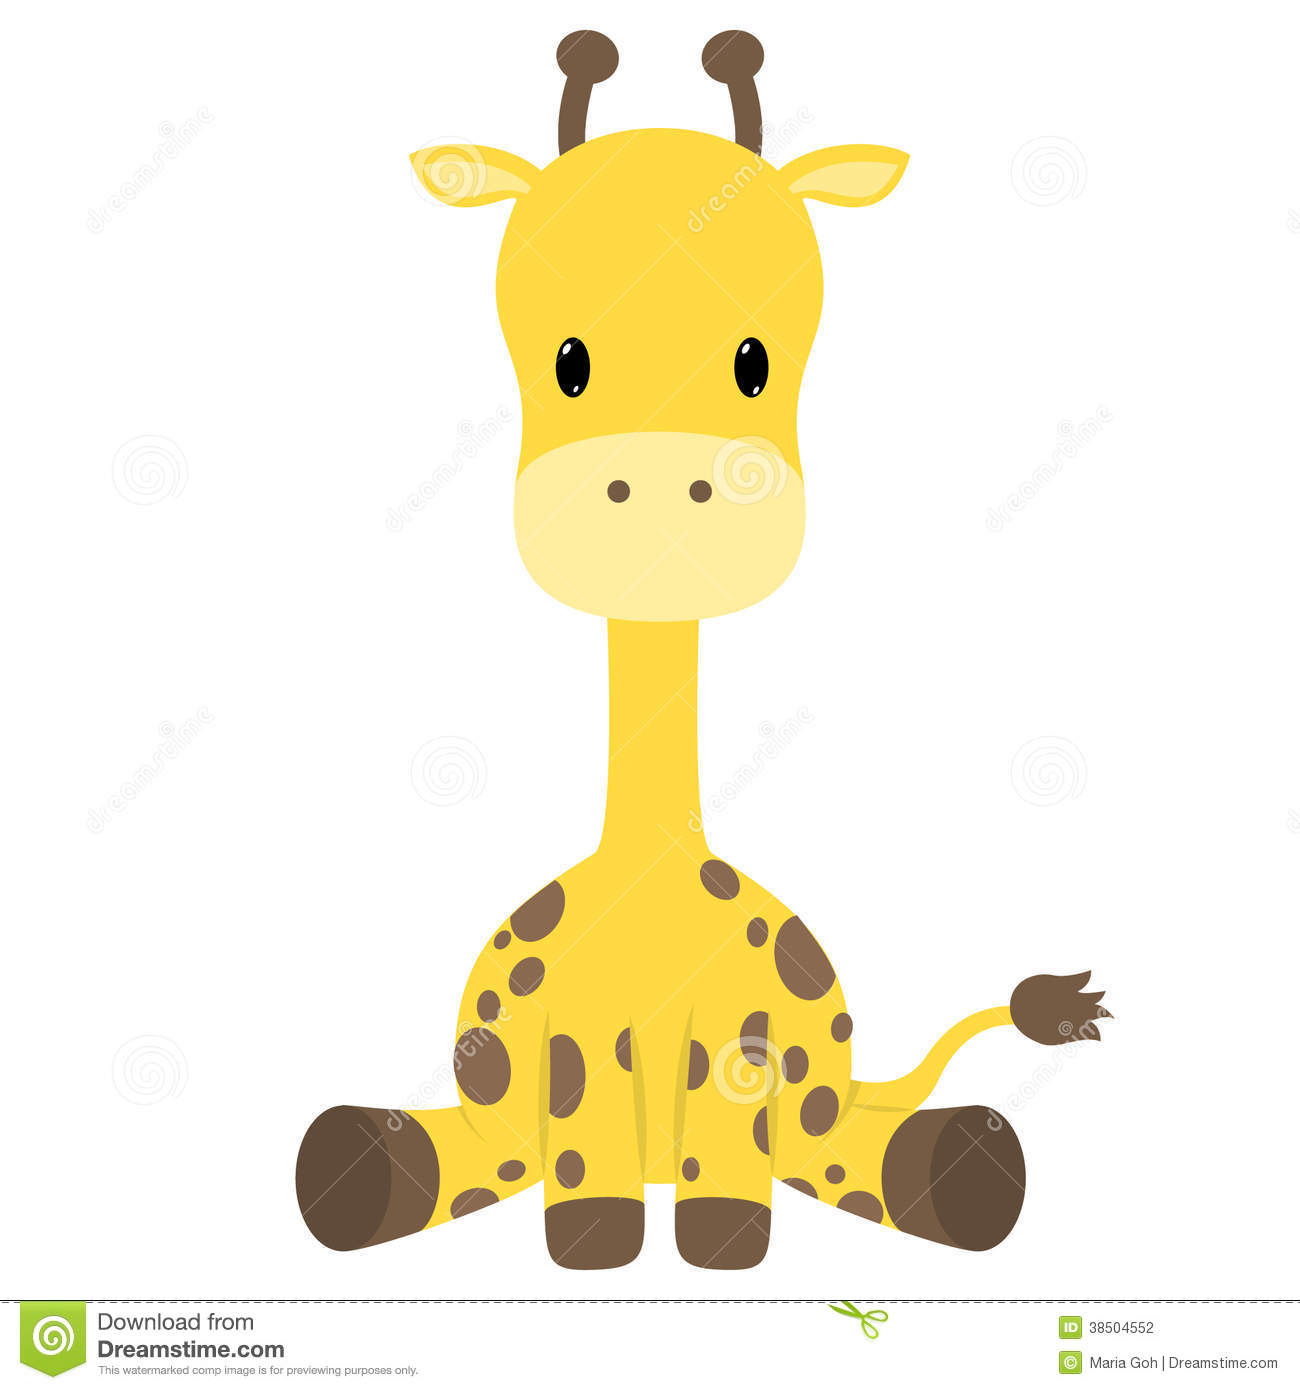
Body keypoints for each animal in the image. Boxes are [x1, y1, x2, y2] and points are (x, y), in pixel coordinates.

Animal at [295, 30, 1112, 1270]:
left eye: (754, 359)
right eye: (566, 360)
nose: (662, 490)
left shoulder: (741, 1038)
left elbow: (729, 1161)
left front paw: (722, 1236)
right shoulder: (574, 1045)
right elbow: (579, 1154)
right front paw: (593, 1240)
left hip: (812, 1100)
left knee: (866, 1149)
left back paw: (964, 1169)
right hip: (503, 1110)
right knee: (440, 1155)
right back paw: (353, 1168)